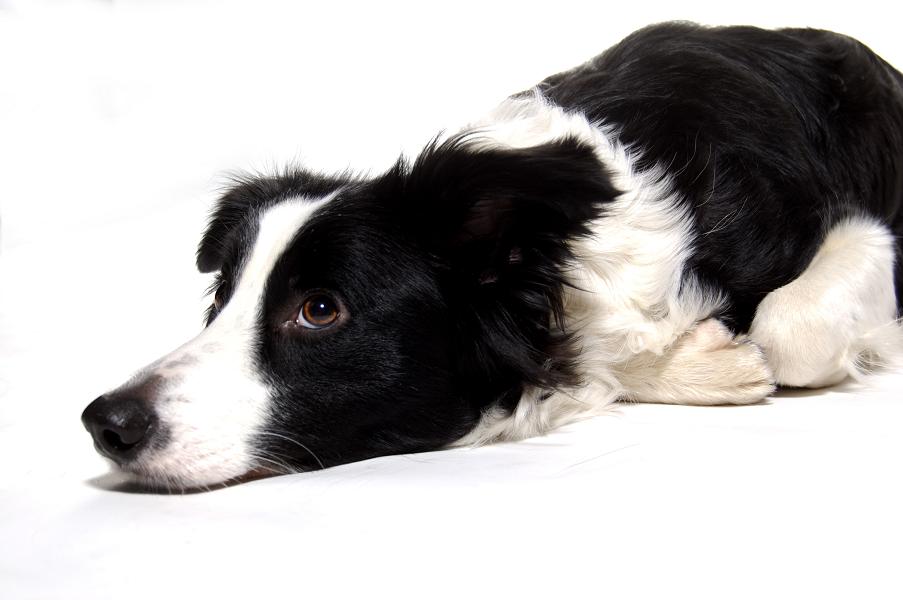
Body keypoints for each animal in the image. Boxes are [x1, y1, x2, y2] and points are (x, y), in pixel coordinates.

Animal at [83, 24, 903, 492]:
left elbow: (790, 330)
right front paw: (704, 361)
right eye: (220, 302)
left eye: (319, 310)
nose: (106, 422)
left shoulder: (869, 232)